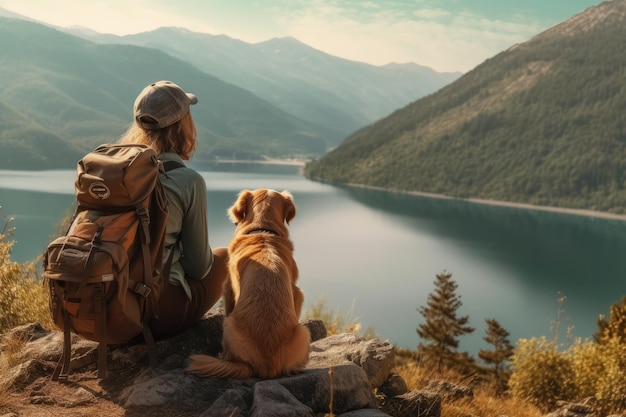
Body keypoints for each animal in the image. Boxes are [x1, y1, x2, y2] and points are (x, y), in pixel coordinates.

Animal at [186, 190, 310, 378]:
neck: (262, 231)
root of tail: (268, 366)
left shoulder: (228, 286)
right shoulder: (297, 292)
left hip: (230, 324)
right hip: (302, 332)